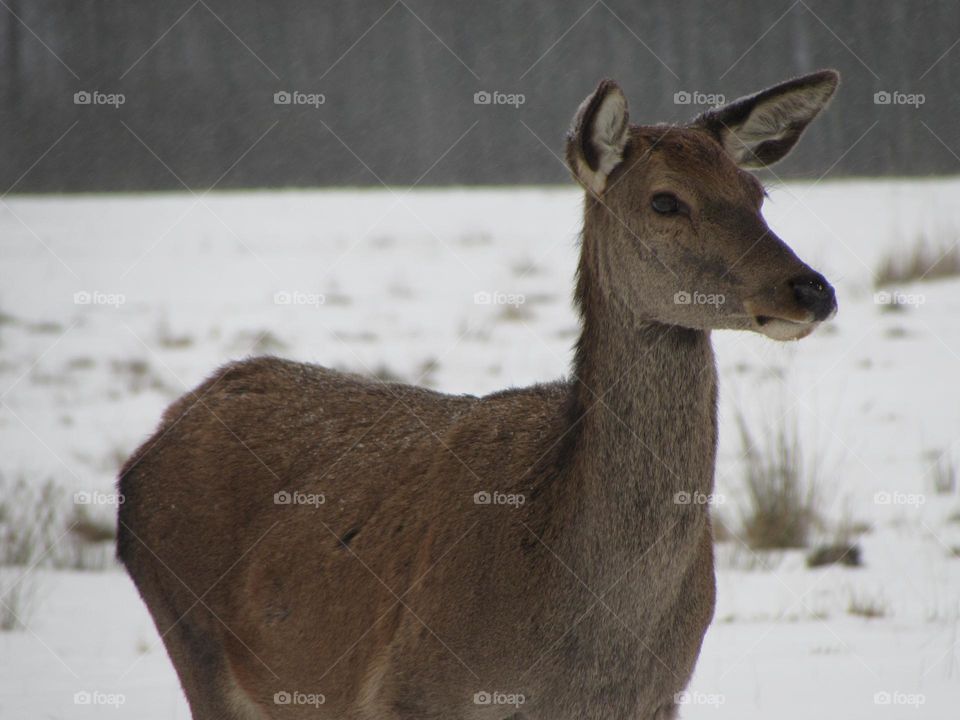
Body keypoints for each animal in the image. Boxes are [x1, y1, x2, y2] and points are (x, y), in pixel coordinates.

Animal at [118, 69, 840, 720]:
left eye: (757, 193)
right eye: (665, 201)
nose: (812, 288)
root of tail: (147, 447)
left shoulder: (660, 700)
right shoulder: (406, 693)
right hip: (193, 637)